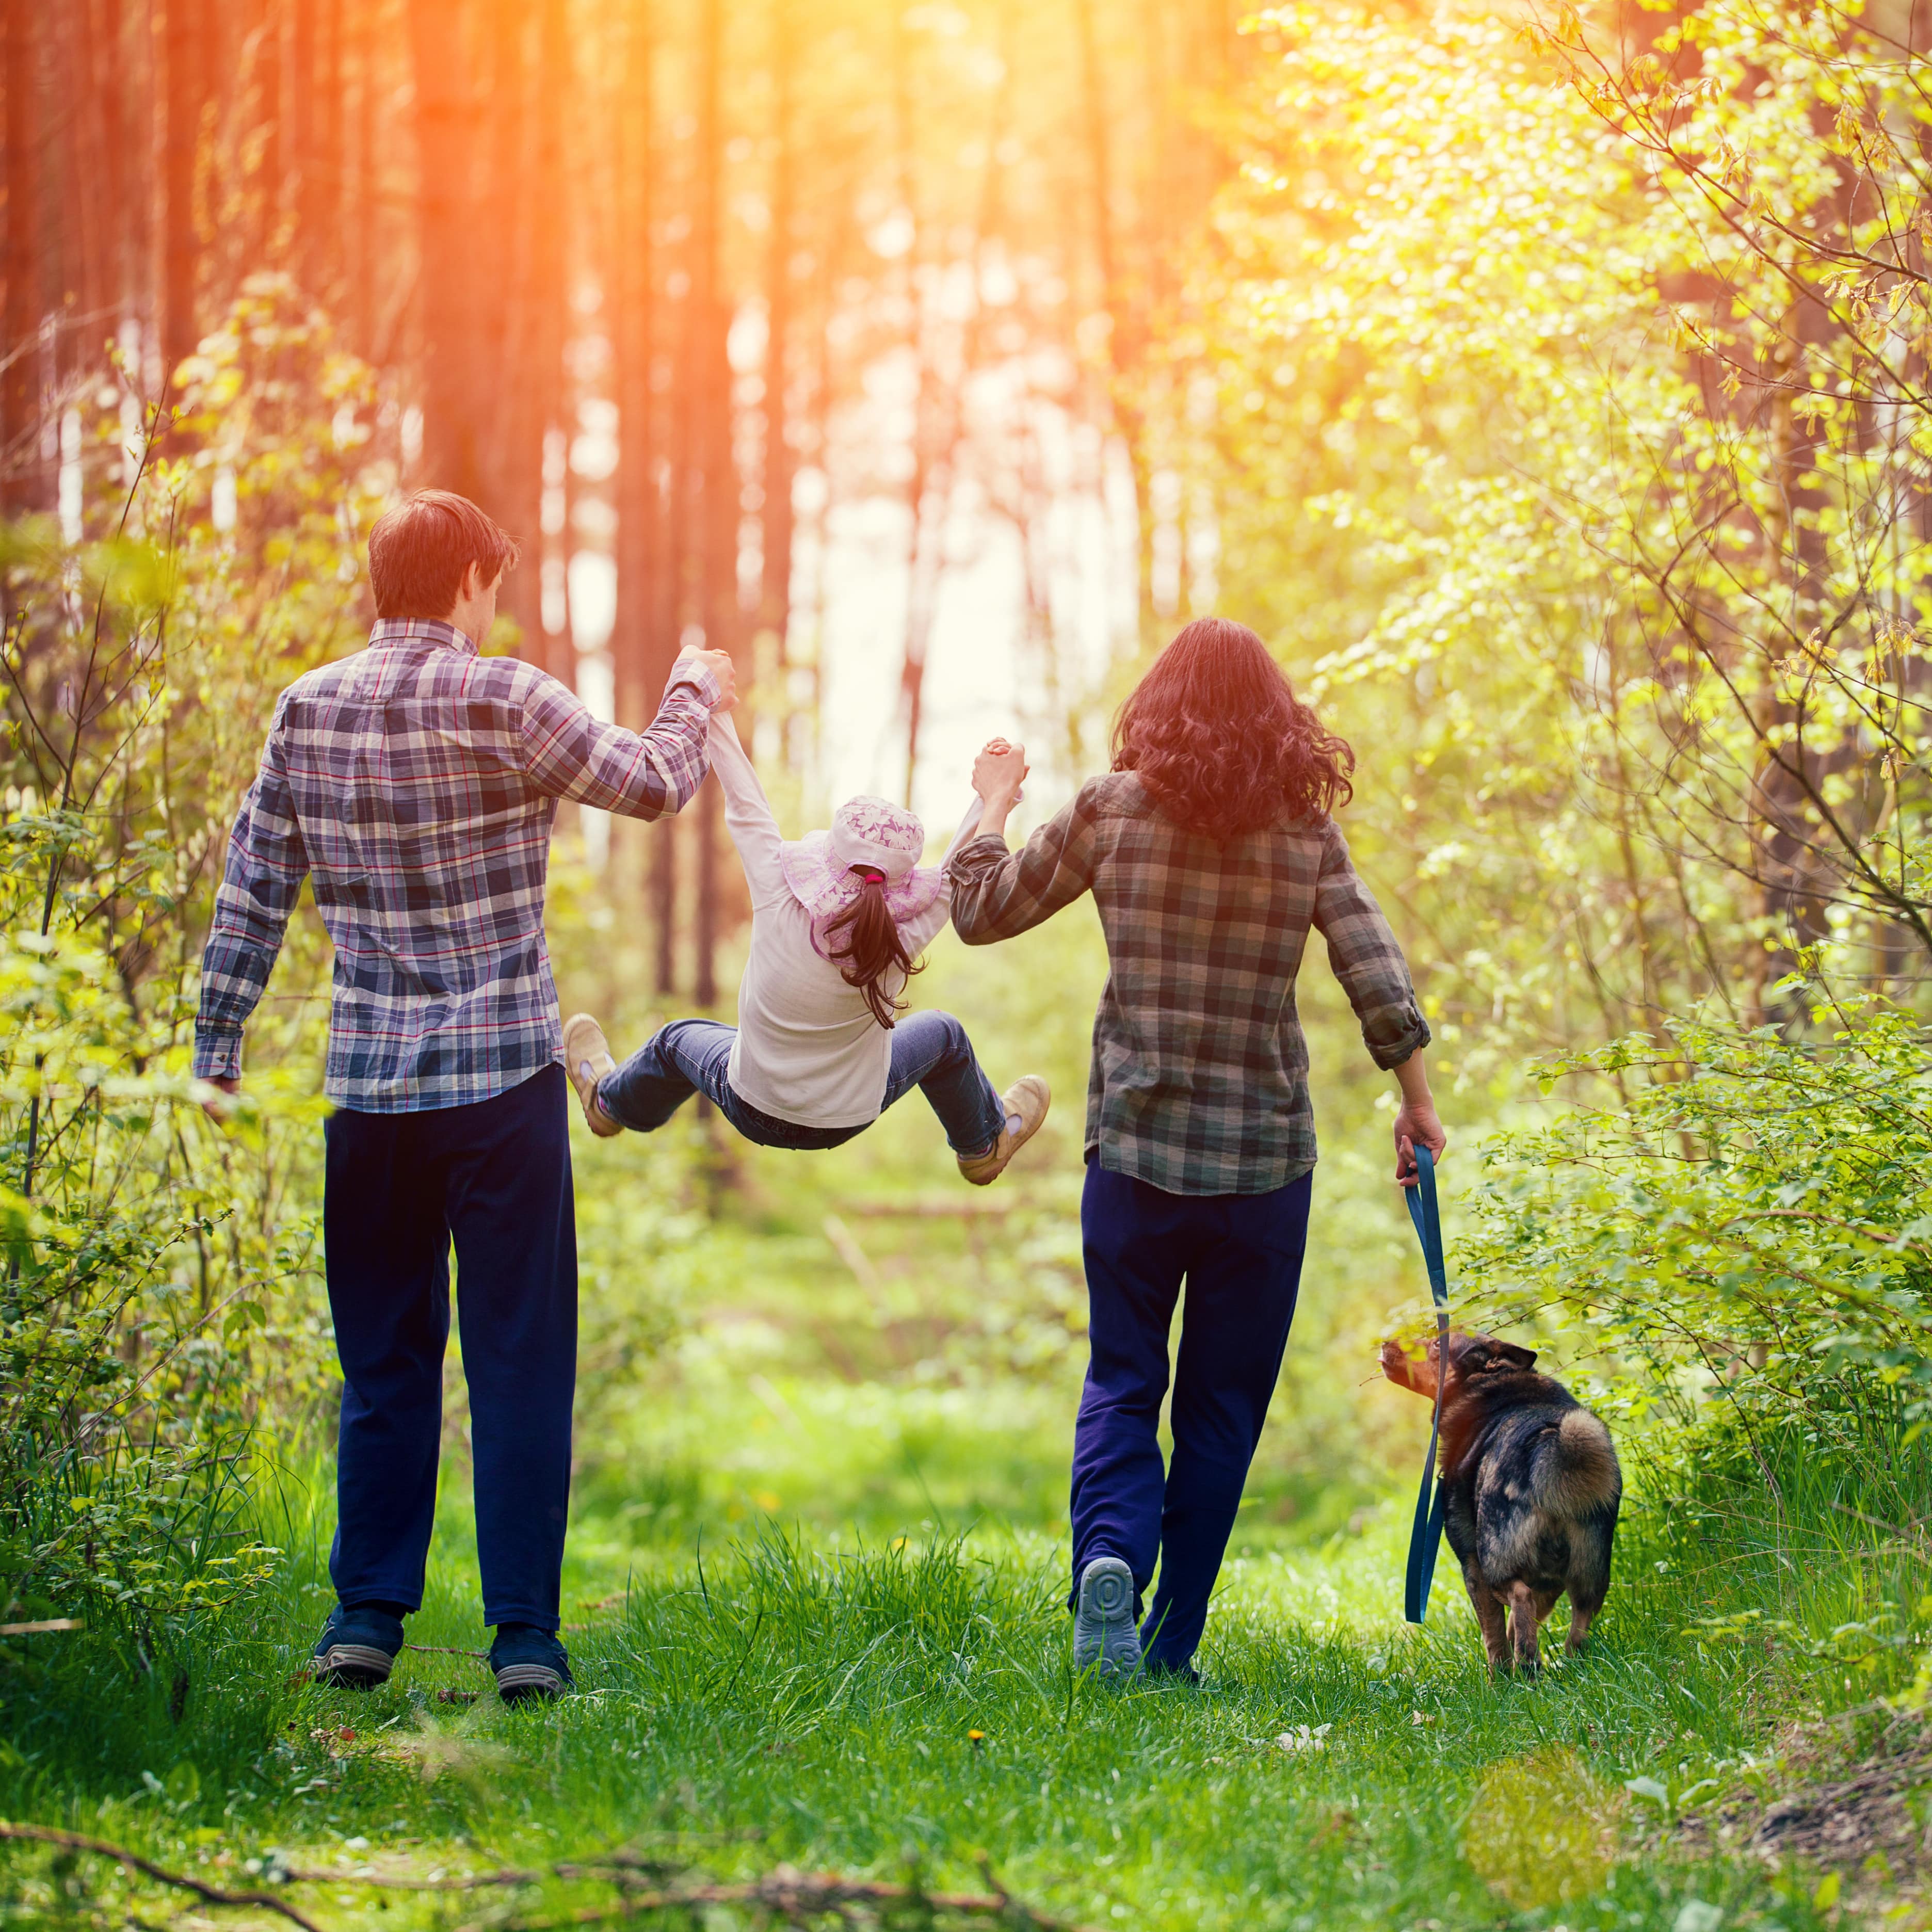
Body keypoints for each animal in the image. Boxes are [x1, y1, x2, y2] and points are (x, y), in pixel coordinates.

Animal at [1383, 1329, 1622, 1677]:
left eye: (1439, 1342)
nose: (1386, 1342)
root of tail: (1552, 1444)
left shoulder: (1472, 1567)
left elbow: (1494, 1636)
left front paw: (1499, 1679)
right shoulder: (1549, 1584)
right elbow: (1513, 1627)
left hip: (1495, 1560)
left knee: (1520, 1599)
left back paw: (1527, 1669)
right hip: (1590, 1576)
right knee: (1577, 1629)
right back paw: (1564, 1667)